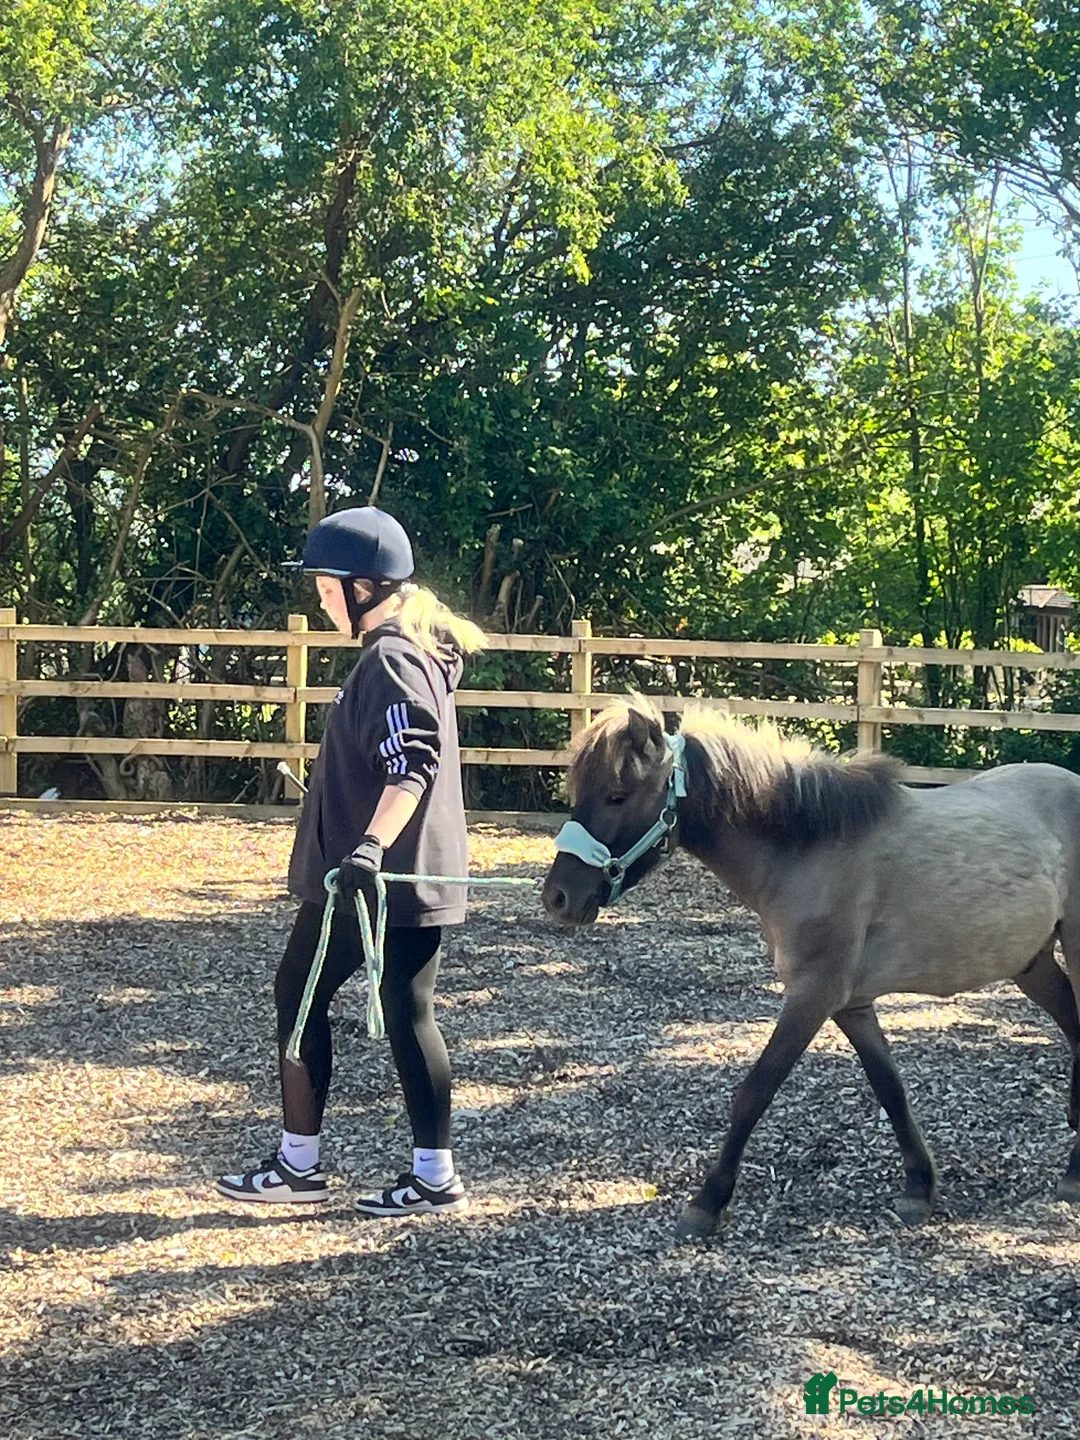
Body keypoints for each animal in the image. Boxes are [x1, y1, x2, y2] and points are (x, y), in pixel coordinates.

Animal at [541, 697, 1080, 1240]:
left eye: (616, 795)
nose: (558, 898)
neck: (806, 848)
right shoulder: (851, 1004)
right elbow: (890, 1089)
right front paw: (918, 1189)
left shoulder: (812, 996)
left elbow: (755, 1091)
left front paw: (707, 1203)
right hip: (1029, 962)